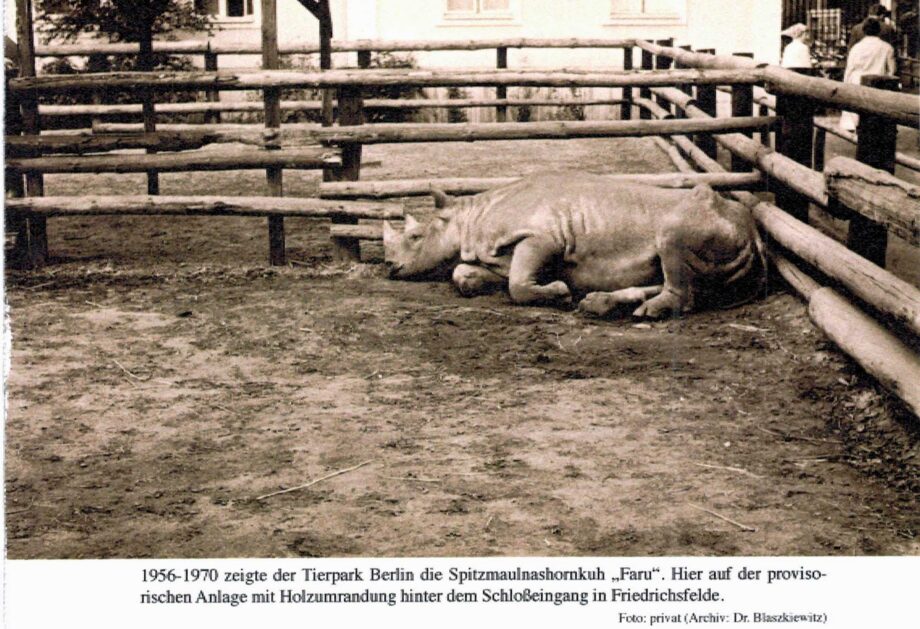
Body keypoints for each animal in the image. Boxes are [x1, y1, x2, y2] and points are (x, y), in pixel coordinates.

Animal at [383, 172, 765, 319]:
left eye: (415, 238)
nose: (389, 266)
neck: (469, 219)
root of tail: (755, 232)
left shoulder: (542, 237)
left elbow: (518, 284)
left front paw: (560, 292)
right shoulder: (496, 254)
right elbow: (467, 273)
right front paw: (472, 282)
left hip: (695, 220)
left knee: (672, 245)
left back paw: (643, 312)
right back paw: (599, 305)